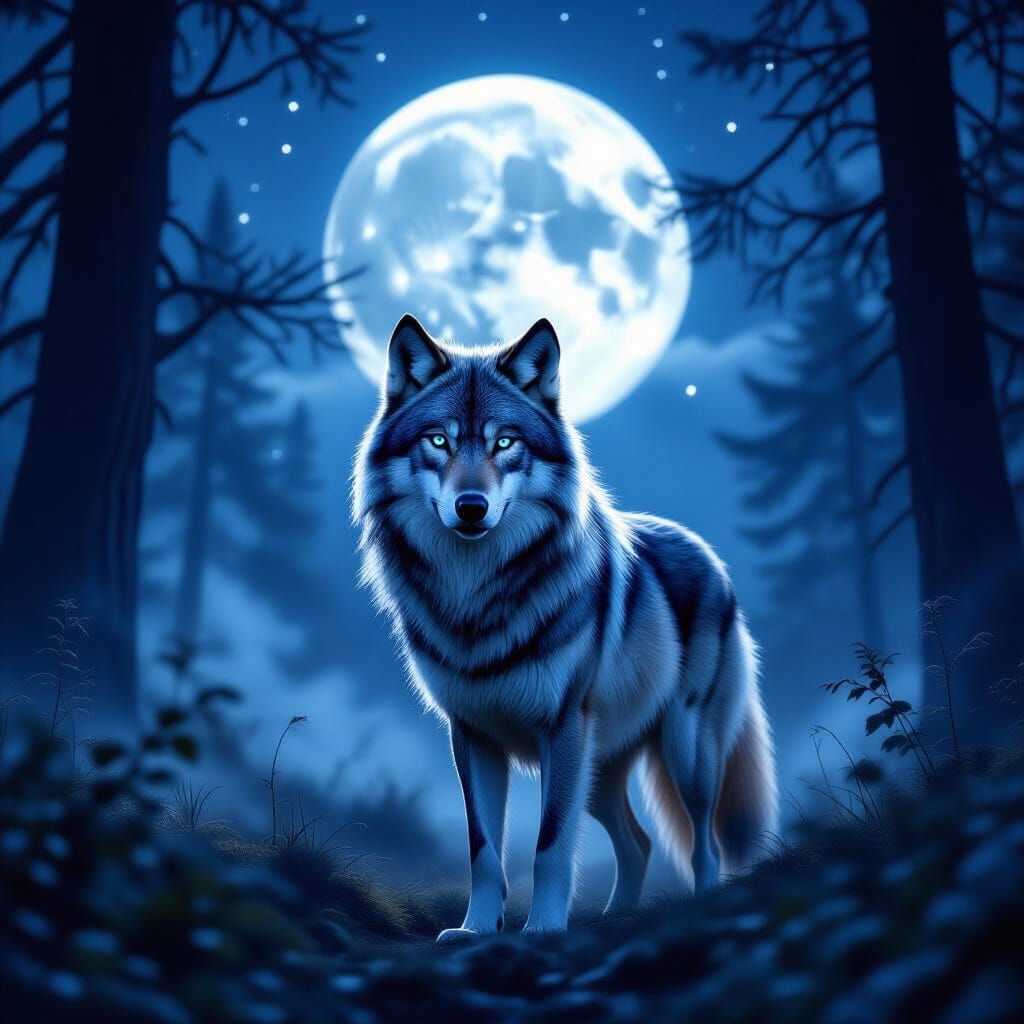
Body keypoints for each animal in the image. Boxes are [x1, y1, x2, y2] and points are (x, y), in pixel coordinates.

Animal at [353, 314, 777, 940]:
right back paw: (617, 916)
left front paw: (544, 929)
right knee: (639, 844)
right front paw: (476, 930)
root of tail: (709, 555)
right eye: (439, 441)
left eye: (505, 443)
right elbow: (483, 848)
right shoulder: (471, 734)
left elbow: (550, 844)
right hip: (599, 773)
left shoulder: (562, 730)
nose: (472, 507)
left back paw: (698, 907)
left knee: (704, 845)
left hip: (683, 754)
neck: (476, 597)